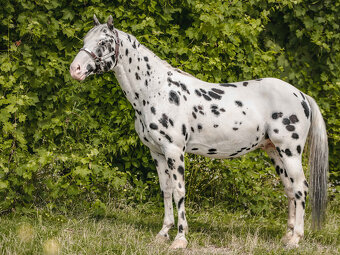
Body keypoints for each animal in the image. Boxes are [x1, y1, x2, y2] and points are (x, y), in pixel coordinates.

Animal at [70, 15, 328, 249]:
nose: (75, 69)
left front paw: (180, 239)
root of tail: (301, 95)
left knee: (300, 188)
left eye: (103, 41)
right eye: (85, 39)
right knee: (290, 189)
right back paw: (287, 235)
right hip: (274, 151)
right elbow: (165, 190)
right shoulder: (157, 152)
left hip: (290, 150)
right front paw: (163, 234)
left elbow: (179, 191)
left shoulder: (174, 151)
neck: (155, 91)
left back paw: (296, 239)